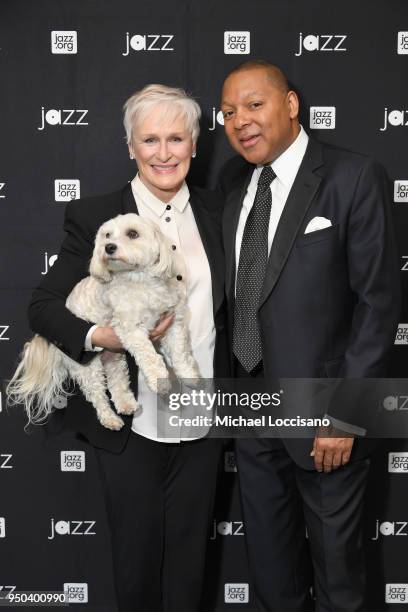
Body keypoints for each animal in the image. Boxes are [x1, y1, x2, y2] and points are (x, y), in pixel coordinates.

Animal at [7, 215, 202, 430]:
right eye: (107, 235)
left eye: (132, 233)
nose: (108, 247)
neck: (140, 280)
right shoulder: (131, 330)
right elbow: (150, 357)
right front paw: (160, 380)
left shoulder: (173, 322)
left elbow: (180, 352)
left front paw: (189, 375)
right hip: (87, 366)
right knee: (97, 394)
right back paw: (110, 418)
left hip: (113, 356)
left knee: (117, 381)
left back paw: (126, 404)